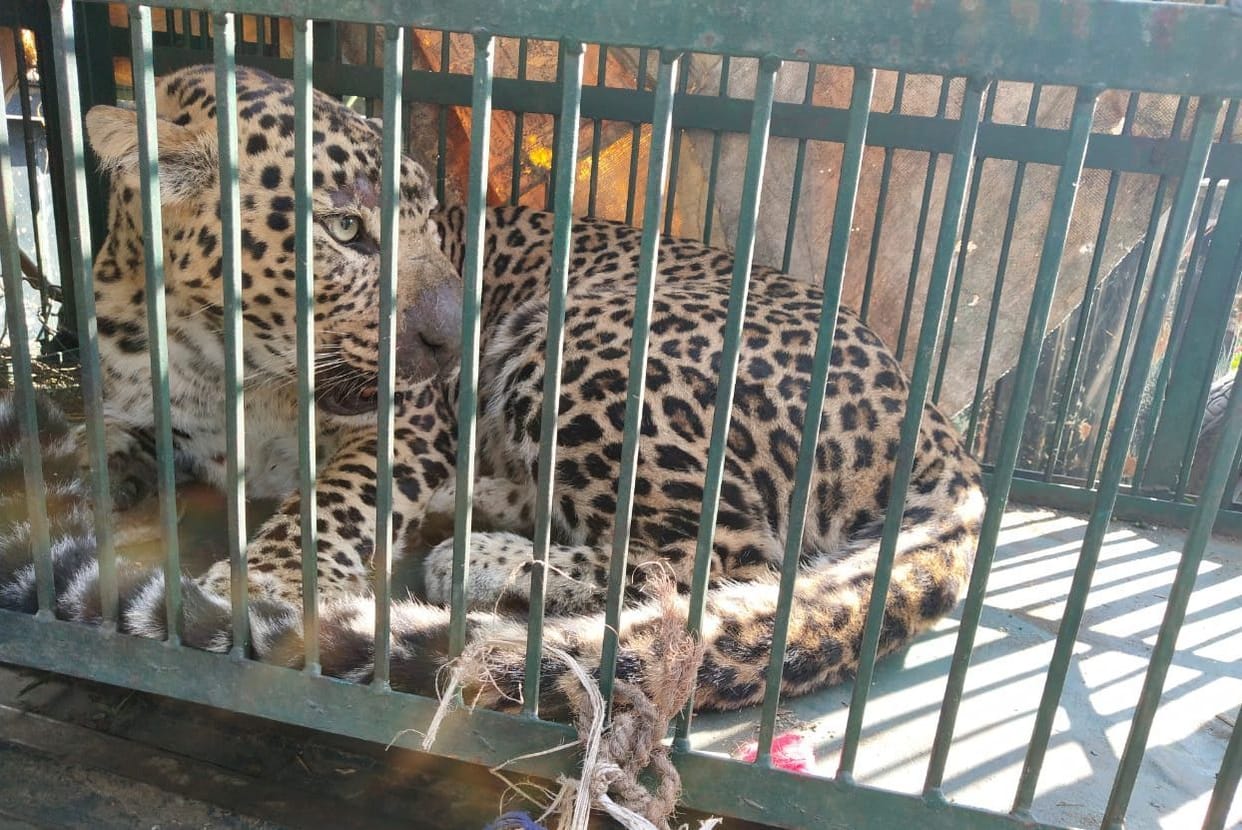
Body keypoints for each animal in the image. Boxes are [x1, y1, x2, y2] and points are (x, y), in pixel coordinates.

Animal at [0, 64, 985, 716]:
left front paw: (264, 584)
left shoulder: (404, 425)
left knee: (720, 564)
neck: (220, 359)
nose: (450, 340)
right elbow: (103, 438)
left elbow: (337, 501)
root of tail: (946, 438)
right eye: (346, 229)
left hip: (586, 339)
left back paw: (475, 558)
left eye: (429, 221)